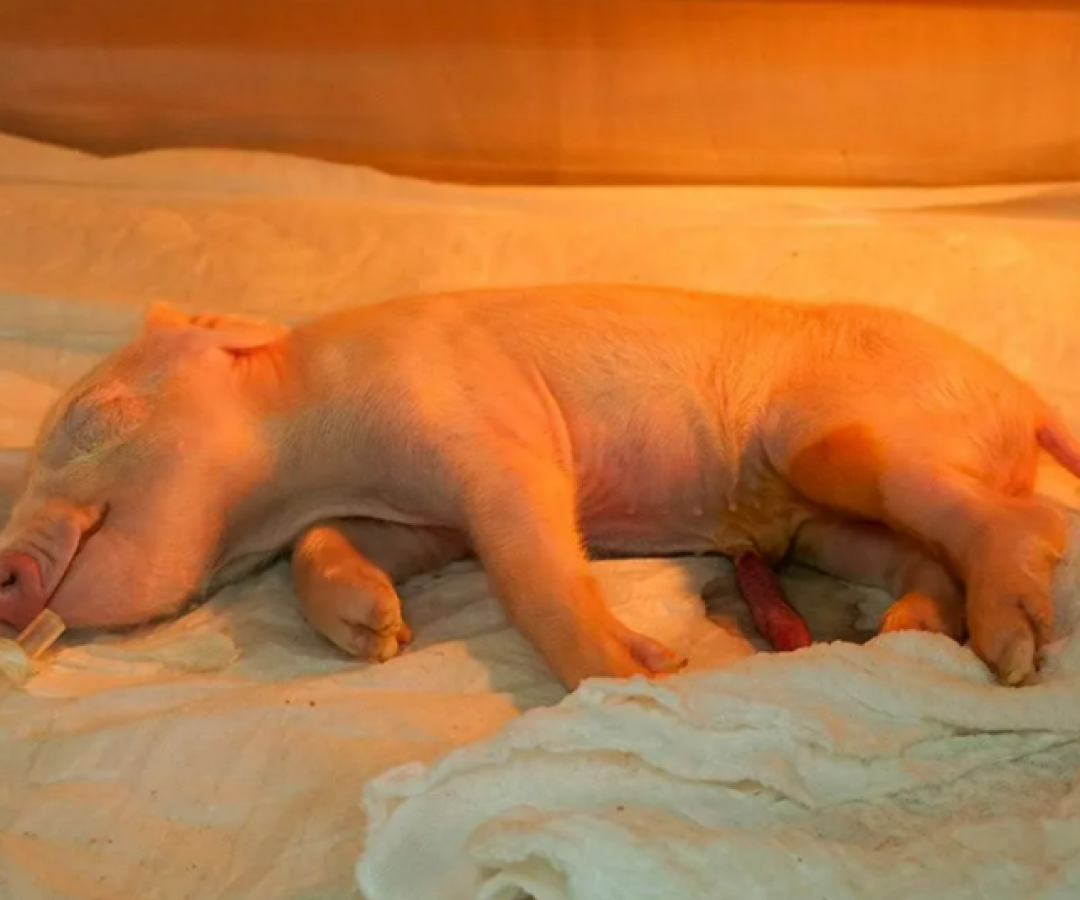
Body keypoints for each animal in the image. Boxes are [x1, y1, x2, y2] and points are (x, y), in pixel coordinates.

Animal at [1, 285, 1078, 690]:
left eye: (92, 414)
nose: (4, 572)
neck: (307, 462)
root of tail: (1026, 396)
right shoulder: (414, 519)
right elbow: (332, 549)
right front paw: (378, 636)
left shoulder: (484, 424)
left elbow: (529, 557)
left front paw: (644, 675)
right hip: (821, 527)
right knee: (917, 557)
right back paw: (903, 634)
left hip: (843, 438)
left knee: (1026, 517)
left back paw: (1014, 653)